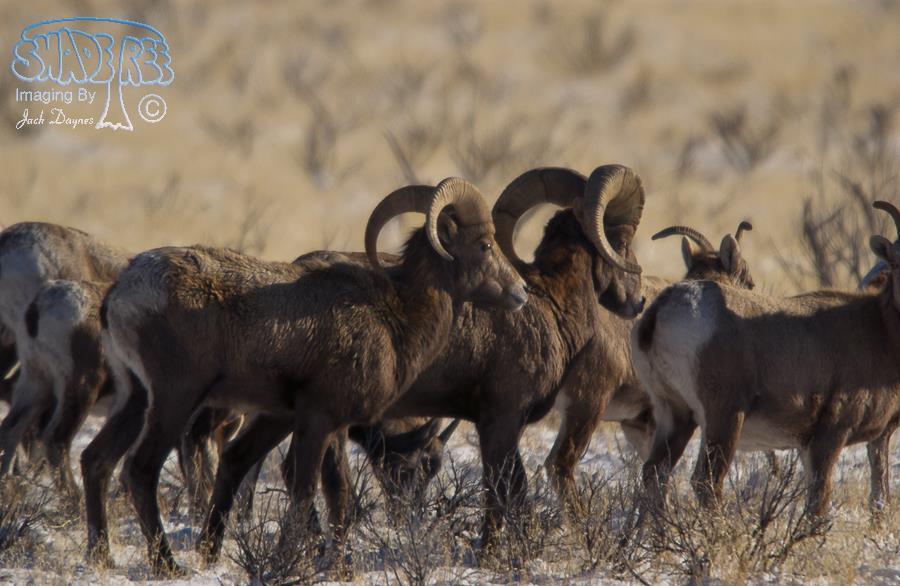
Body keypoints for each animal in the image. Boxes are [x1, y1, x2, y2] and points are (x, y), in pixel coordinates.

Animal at [85, 177, 527, 575]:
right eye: (485, 245)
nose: (521, 291)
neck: (396, 317)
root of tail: (121, 293)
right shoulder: (317, 420)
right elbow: (304, 492)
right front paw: (289, 561)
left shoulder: (330, 425)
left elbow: (338, 494)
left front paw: (339, 569)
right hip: (173, 401)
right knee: (139, 470)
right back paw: (168, 566)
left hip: (135, 400)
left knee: (96, 460)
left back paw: (102, 558)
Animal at [631, 200, 900, 518]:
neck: (880, 327)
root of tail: (659, 311)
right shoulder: (830, 435)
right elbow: (818, 503)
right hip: (723, 419)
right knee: (706, 481)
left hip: (675, 415)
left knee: (654, 473)